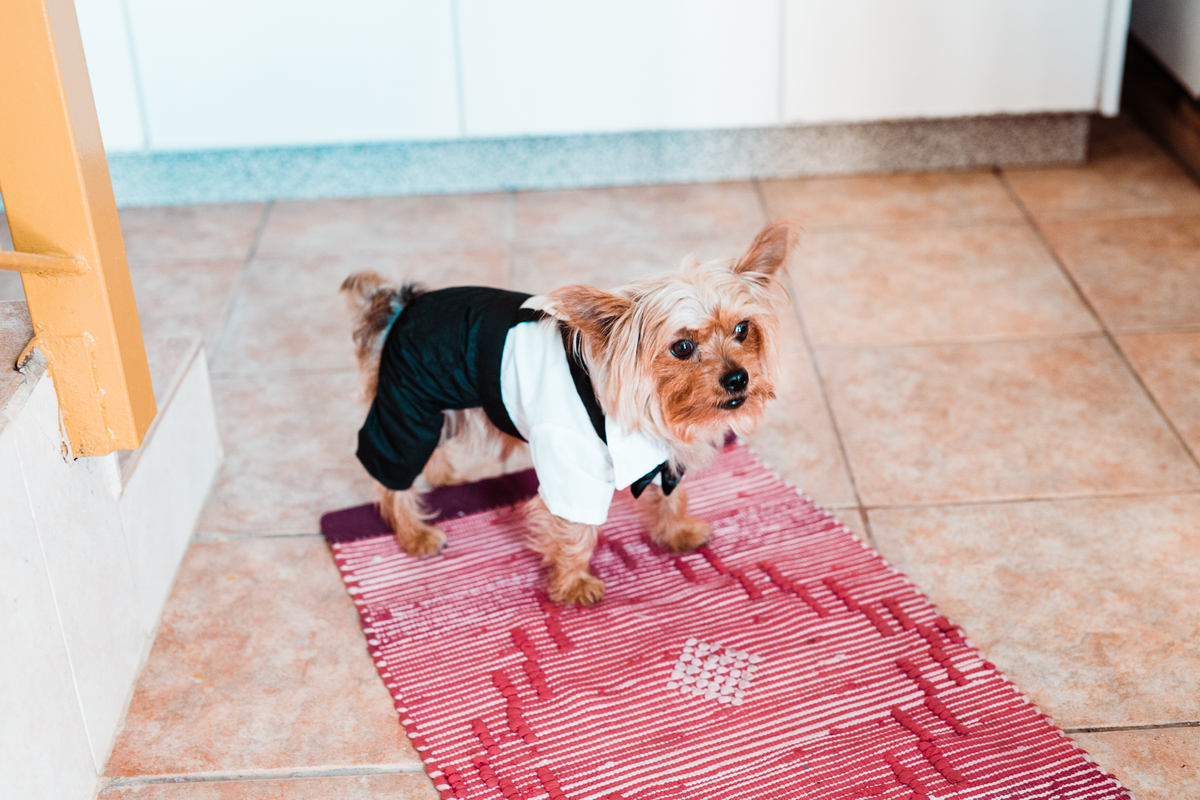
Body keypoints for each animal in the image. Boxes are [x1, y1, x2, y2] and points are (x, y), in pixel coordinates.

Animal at [342, 220, 795, 606]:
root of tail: (400, 305)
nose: (737, 378)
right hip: (407, 406)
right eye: (682, 347)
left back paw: (442, 477)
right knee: (391, 475)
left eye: (742, 329)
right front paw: (574, 583)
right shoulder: (570, 464)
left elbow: (670, 495)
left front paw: (676, 531)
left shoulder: (658, 452)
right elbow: (575, 527)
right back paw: (414, 533)